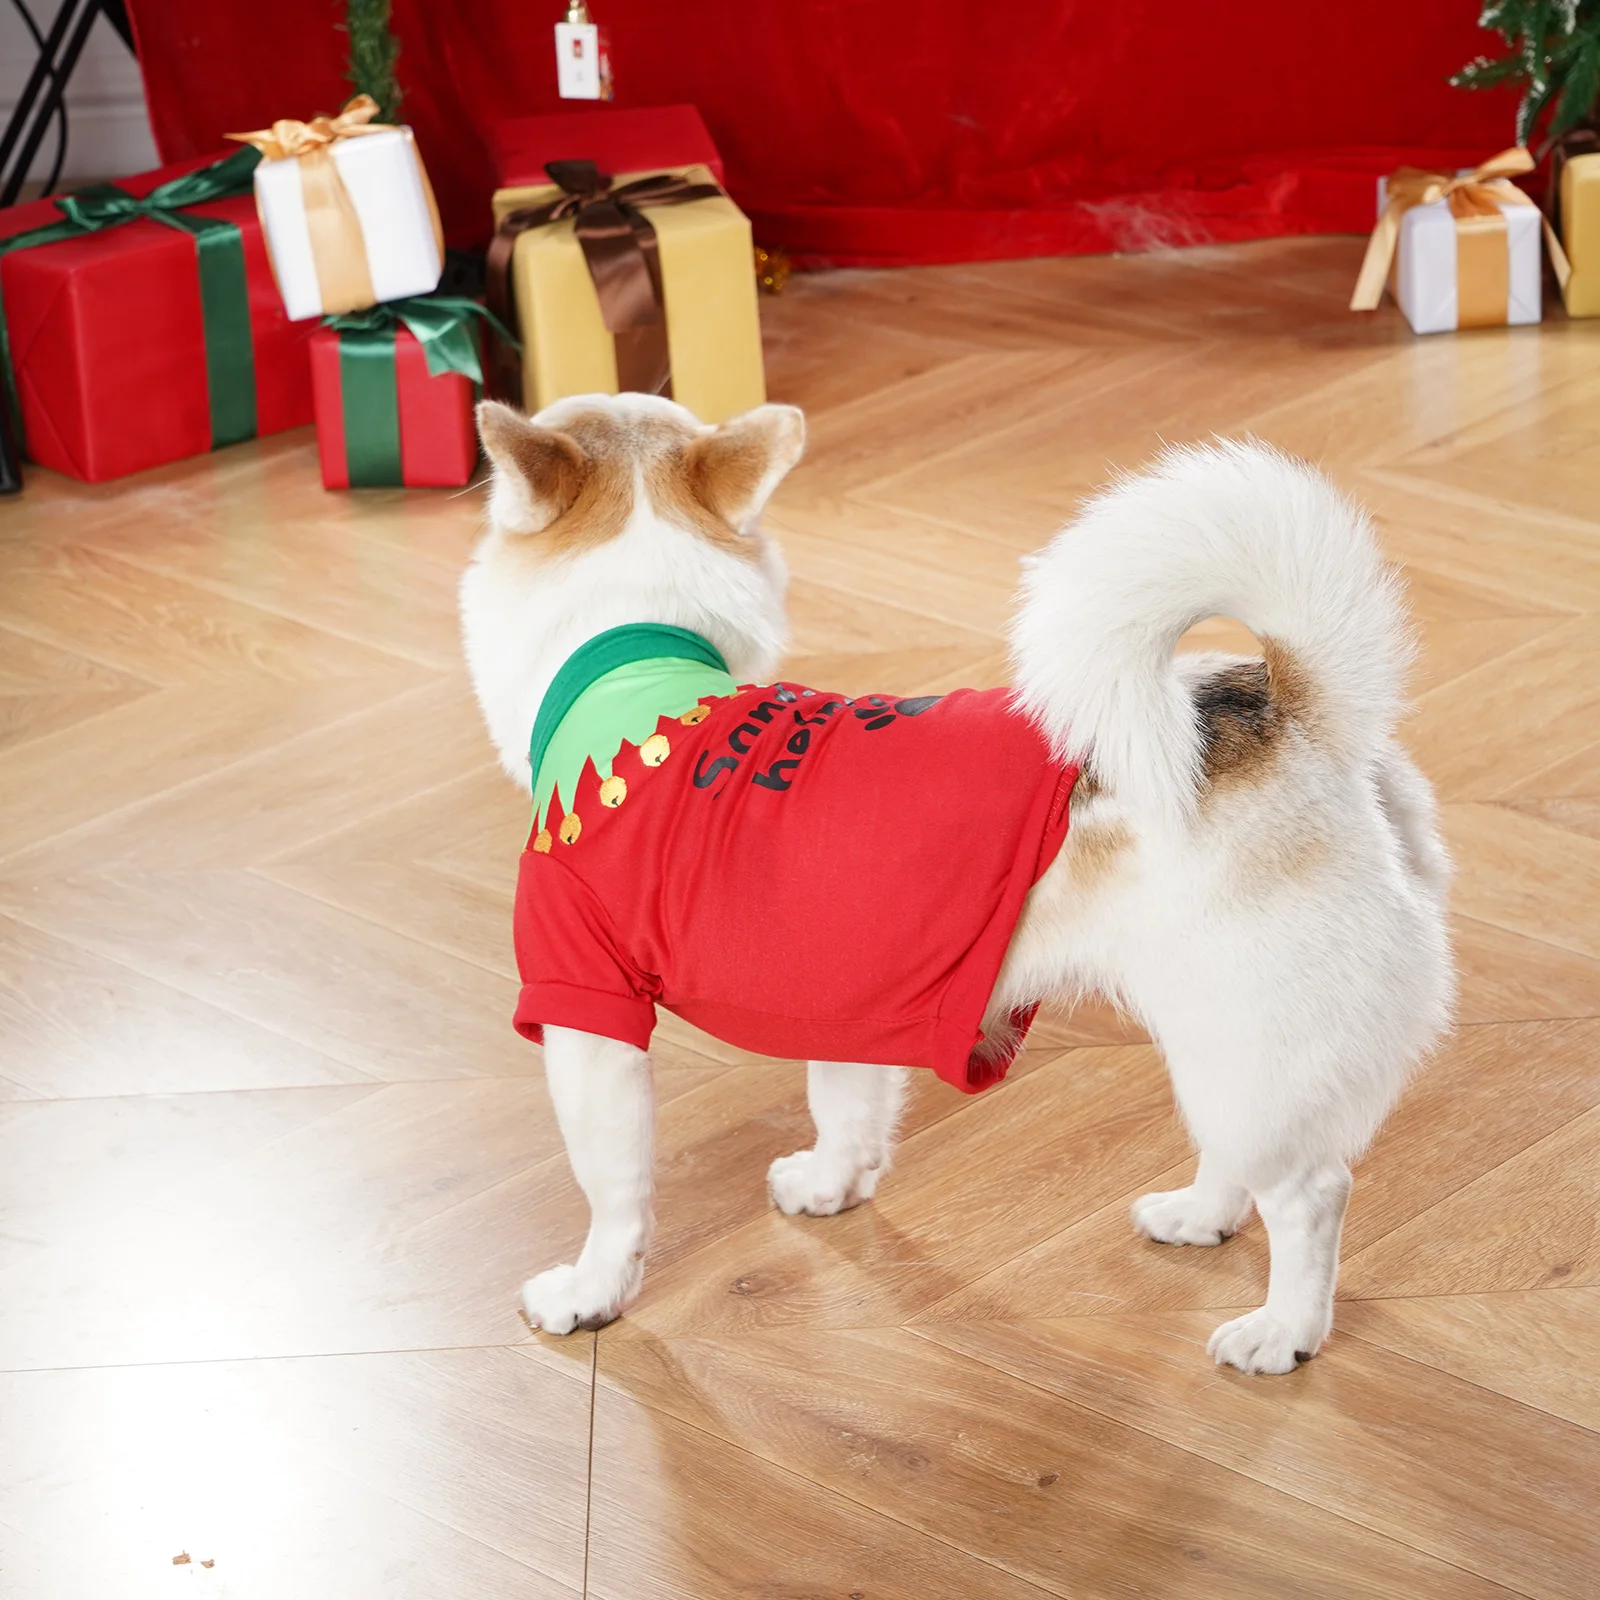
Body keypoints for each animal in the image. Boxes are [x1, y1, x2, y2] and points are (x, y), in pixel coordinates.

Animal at [460, 390, 1452, 1376]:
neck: (635, 657)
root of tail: (1298, 719)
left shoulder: (588, 1016)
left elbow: (614, 1190)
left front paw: (590, 1293)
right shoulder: (842, 1006)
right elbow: (846, 1107)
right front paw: (832, 1185)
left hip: (1249, 1040)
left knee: (1311, 1193)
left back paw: (1285, 1330)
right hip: (1221, 1045)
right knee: (1236, 1155)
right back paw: (1199, 1217)